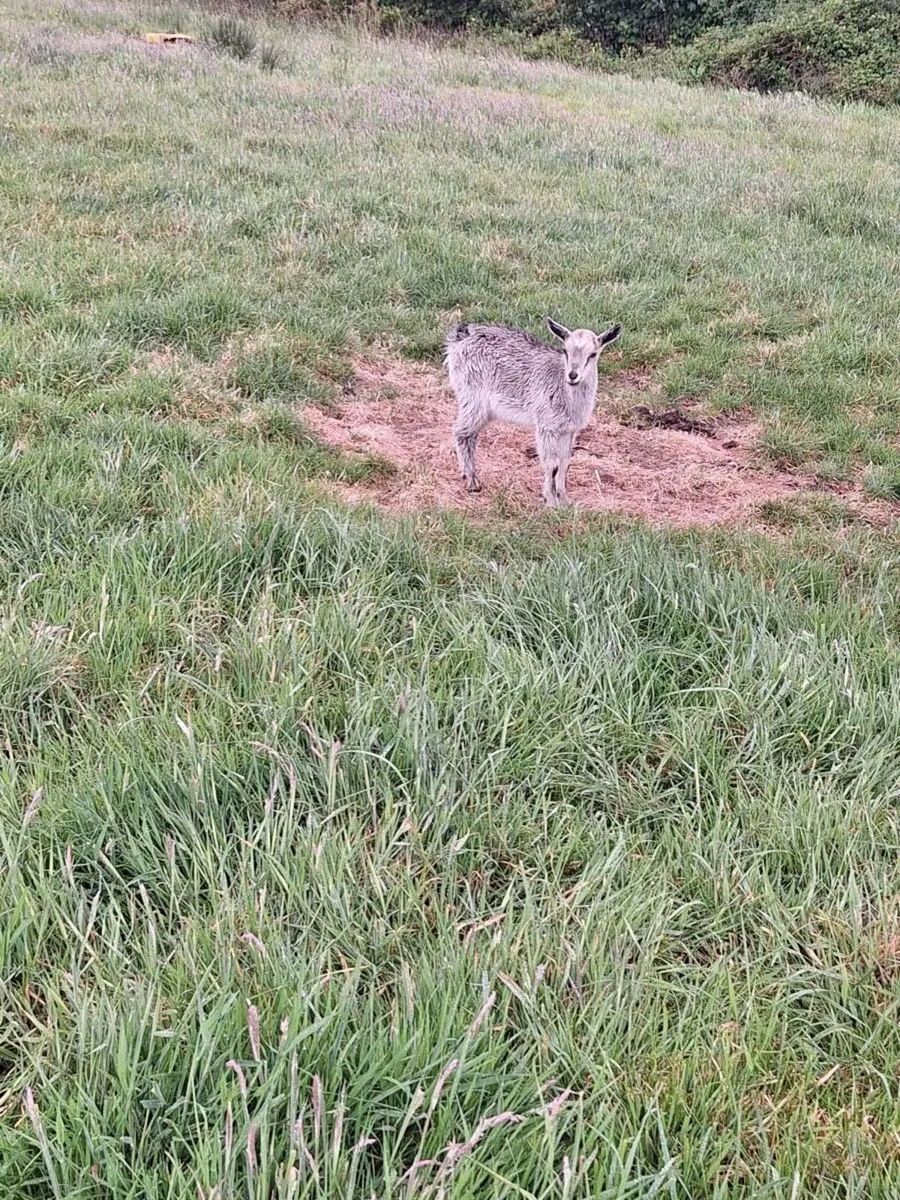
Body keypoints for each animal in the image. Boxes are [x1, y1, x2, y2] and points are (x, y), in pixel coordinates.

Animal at [445, 316, 622, 506]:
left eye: (593, 354)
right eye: (565, 350)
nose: (573, 375)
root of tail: (462, 336)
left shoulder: (568, 430)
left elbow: (564, 462)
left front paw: (564, 499)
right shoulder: (546, 425)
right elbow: (552, 464)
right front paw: (550, 500)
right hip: (473, 396)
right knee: (462, 432)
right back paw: (471, 481)